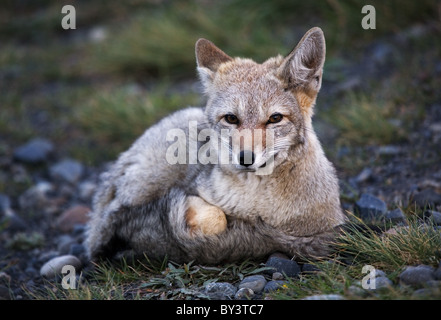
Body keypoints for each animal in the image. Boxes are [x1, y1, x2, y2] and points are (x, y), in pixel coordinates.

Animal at [84, 27, 346, 264]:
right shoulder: (198, 191)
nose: (245, 158)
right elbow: (215, 219)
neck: (257, 207)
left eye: (275, 118)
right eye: (231, 118)